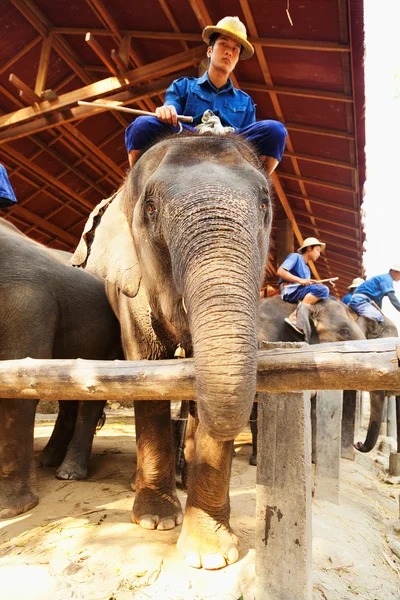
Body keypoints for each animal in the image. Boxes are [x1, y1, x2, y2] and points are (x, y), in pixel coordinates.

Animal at [71, 134, 272, 568]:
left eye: (265, 204)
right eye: (150, 209)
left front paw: (211, 556)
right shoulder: (130, 290)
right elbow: (146, 372)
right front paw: (155, 521)